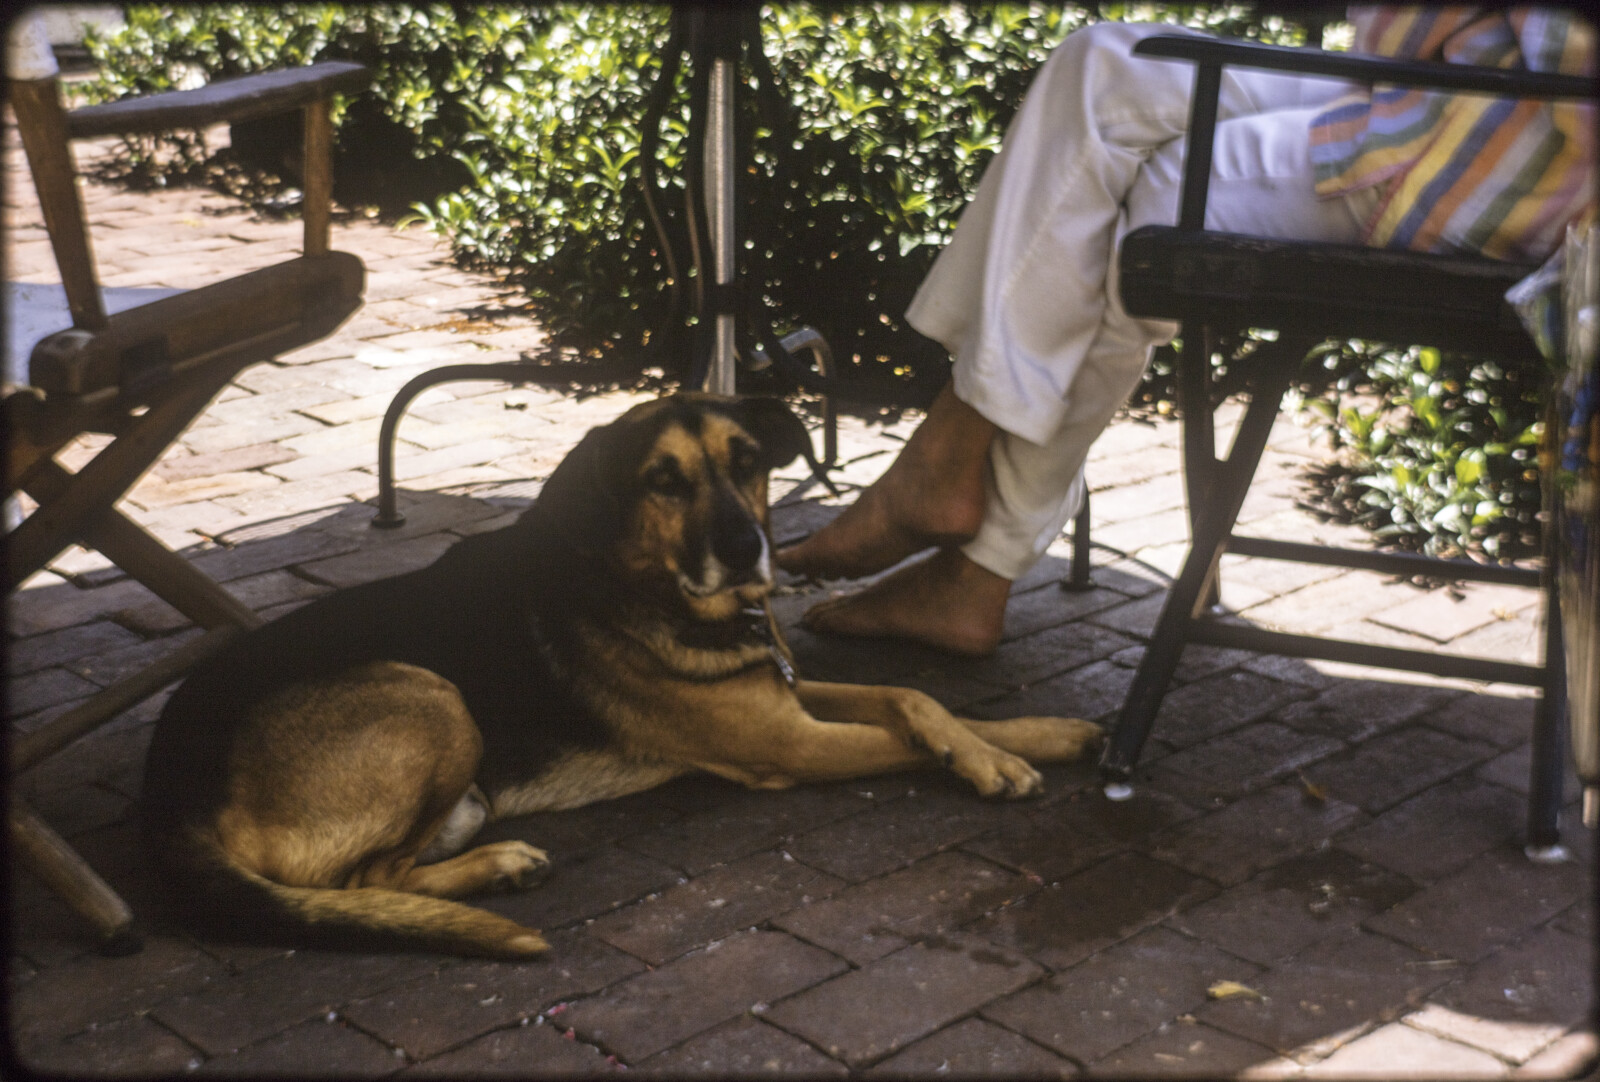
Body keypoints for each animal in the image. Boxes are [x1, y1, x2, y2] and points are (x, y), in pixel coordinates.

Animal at [144, 395, 1100, 953]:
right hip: (430, 695)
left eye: (748, 461)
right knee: (364, 882)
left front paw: (1028, 740)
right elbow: (902, 730)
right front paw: (998, 762)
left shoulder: (785, 692)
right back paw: (497, 869)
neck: (656, 587)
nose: (748, 551)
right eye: (662, 482)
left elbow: (916, 697)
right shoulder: (791, 745)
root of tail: (166, 798)